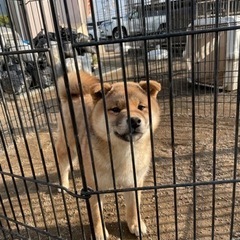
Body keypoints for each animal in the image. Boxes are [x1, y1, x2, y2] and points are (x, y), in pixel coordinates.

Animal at [56, 70, 161, 239]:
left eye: (141, 107)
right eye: (115, 109)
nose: (134, 120)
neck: (124, 152)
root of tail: (75, 97)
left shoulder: (134, 182)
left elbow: (133, 207)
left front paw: (135, 224)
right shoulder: (94, 188)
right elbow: (97, 214)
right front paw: (99, 232)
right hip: (67, 148)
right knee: (63, 166)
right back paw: (63, 184)